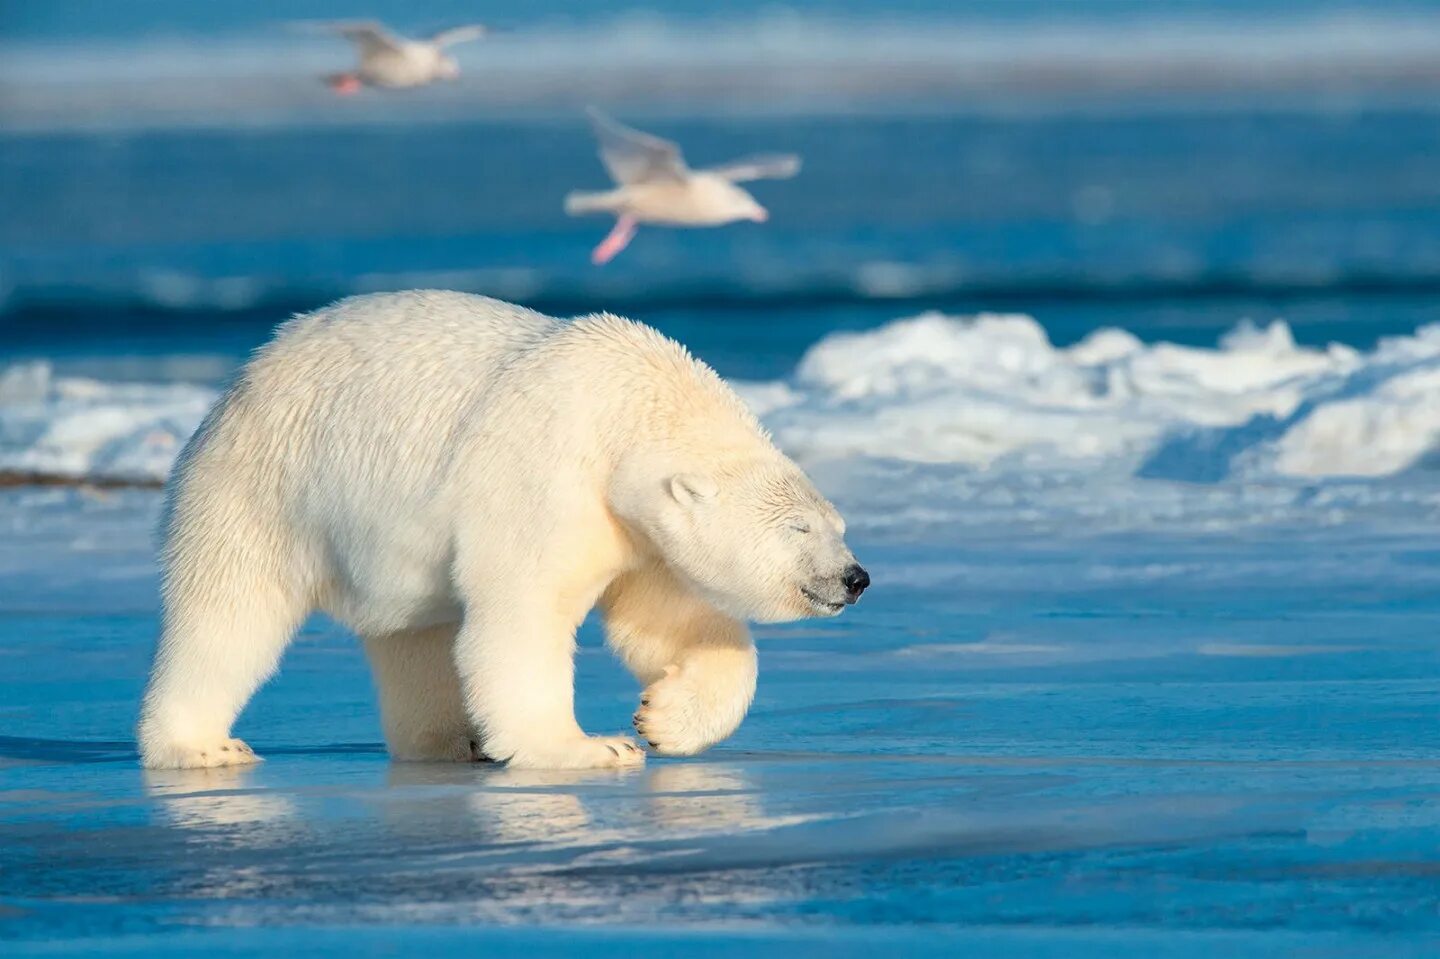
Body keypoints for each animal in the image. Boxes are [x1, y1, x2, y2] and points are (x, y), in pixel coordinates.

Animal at [137, 289, 864, 771]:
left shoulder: (636, 533)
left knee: (417, 640)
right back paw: (200, 745)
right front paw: (592, 746)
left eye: (837, 523)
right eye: (799, 528)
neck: (624, 407)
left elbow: (668, 620)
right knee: (229, 614)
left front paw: (664, 718)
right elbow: (523, 614)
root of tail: (235, 386)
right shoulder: (545, 474)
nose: (855, 577)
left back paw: (451, 740)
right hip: (265, 489)